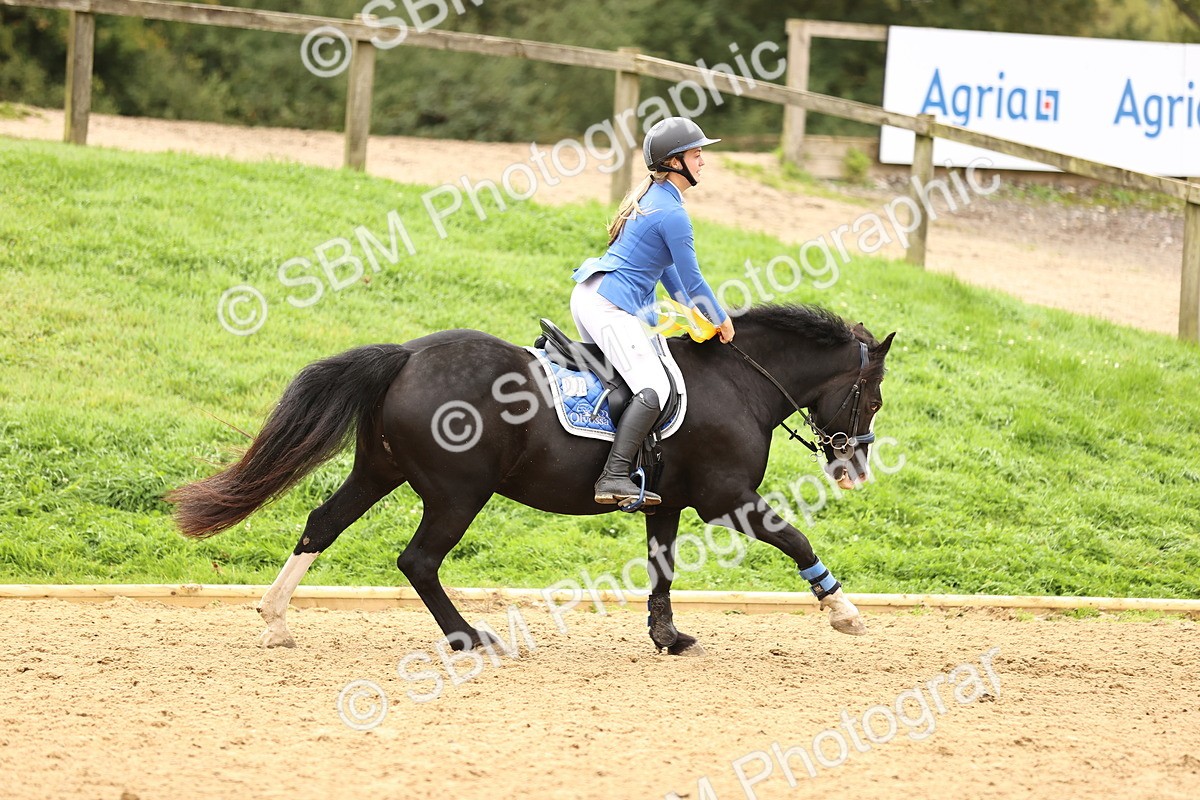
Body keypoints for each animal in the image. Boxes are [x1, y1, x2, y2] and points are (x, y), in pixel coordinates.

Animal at [167, 303, 894, 655]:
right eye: (874, 397)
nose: (854, 470)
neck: (738, 382)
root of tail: (407, 356)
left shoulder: (667, 502)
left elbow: (661, 569)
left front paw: (666, 638)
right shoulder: (727, 499)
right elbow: (795, 539)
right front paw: (845, 614)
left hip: (380, 470)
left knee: (322, 525)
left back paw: (274, 619)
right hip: (458, 492)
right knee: (418, 560)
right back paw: (467, 637)